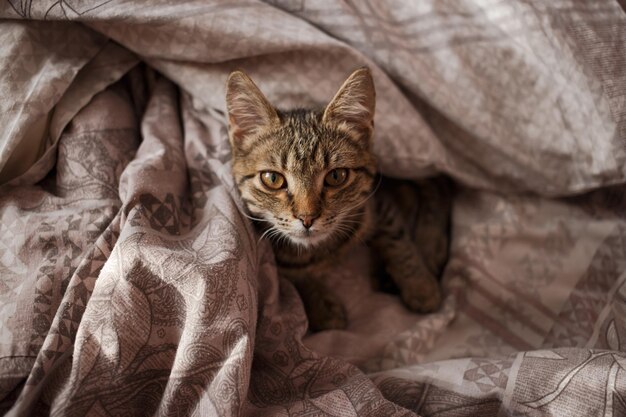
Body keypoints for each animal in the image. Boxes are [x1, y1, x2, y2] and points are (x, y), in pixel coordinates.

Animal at [224, 67, 448, 328]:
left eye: (336, 176)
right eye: (272, 179)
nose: (307, 218)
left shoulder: (377, 202)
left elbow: (397, 238)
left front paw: (420, 285)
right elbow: (293, 274)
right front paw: (321, 306)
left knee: (437, 185)